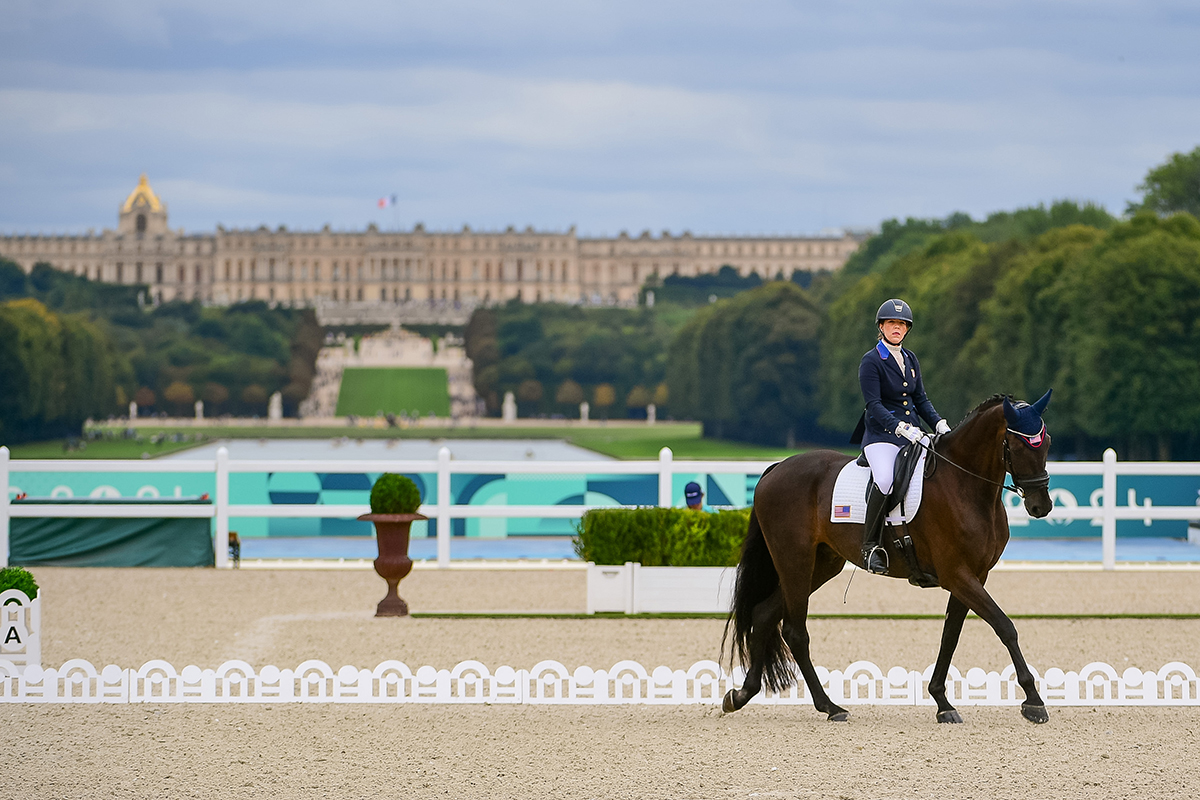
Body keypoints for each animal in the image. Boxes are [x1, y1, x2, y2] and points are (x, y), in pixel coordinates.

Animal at [720, 393, 1051, 724]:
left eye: (1046, 443)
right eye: (1019, 445)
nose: (1041, 506)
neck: (964, 484)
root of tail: (776, 468)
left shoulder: (974, 575)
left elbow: (950, 636)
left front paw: (942, 702)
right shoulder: (957, 574)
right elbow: (1004, 626)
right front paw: (1033, 702)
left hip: (821, 565)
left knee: (763, 614)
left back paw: (741, 695)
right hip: (794, 560)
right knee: (795, 631)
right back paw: (830, 707)